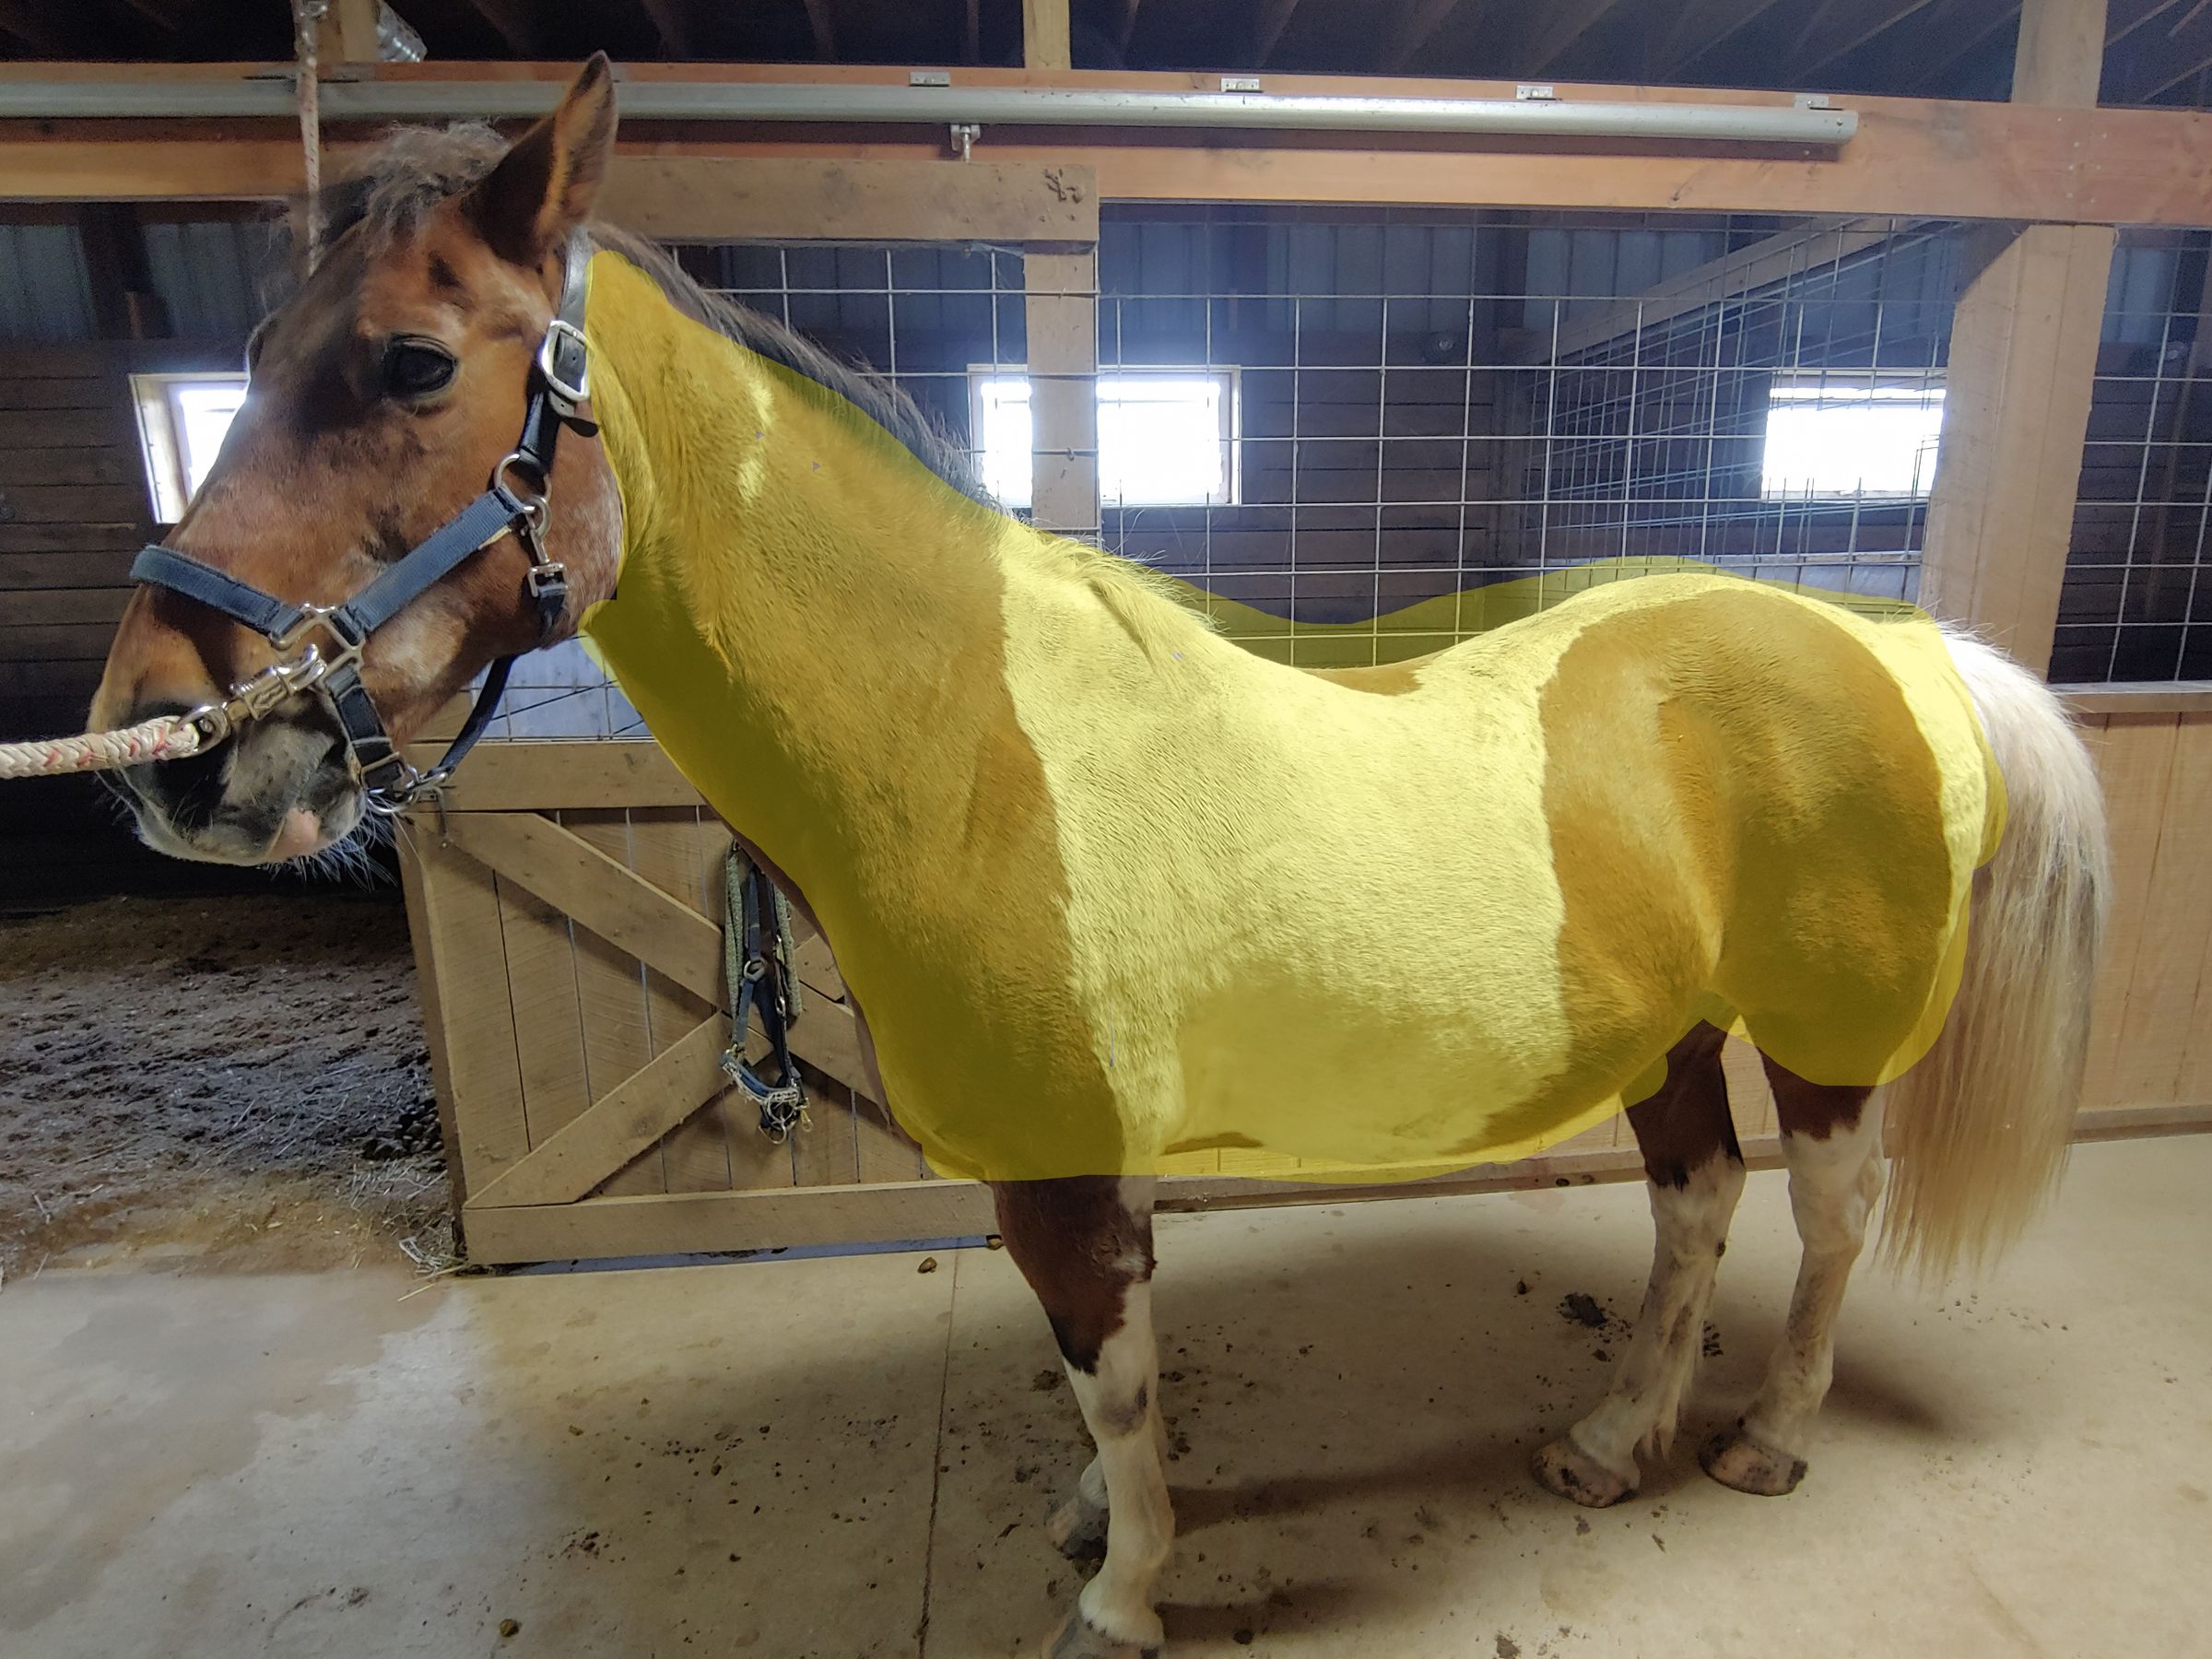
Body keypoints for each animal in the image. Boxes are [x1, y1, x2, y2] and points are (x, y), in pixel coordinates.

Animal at [92, 59, 2110, 1658]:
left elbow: (1120, 1379)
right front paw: (1087, 1521)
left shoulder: (1068, 1165)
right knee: (1696, 1205)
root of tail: (1890, 646)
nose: (174, 753)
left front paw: (1121, 1593)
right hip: (1673, 1034)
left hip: (1824, 1037)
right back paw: (1614, 1444)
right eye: (246, 359)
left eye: (414, 360)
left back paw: (1767, 1436)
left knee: (1830, 1213)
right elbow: (1088, 1378)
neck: (974, 752)